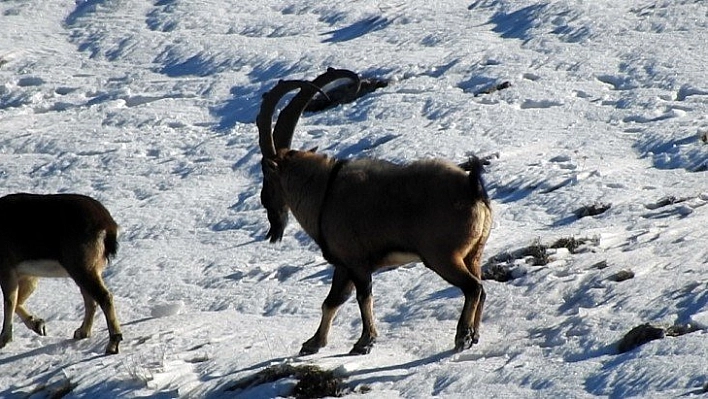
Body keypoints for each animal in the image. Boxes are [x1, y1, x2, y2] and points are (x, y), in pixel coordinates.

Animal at [0, 194, 123, 354]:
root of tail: (107, 226)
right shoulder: (27, 275)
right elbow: (17, 301)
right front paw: (39, 325)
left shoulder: (7, 269)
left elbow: (9, 302)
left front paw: (4, 340)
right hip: (84, 271)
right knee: (91, 300)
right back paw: (82, 332)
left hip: (82, 268)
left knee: (104, 297)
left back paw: (112, 344)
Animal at [258, 69, 496, 356]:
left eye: (266, 174)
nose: (265, 204)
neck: (324, 192)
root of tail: (473, 189)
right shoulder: (343, 265)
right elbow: (332, 301)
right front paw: (313, 343)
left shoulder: (357, 262)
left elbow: (363, 297)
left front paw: (364, 342)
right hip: (474, 253)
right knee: (481, 288)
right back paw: (475, 335)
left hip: (442, 256)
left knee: (473, 287)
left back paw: (462, 336)